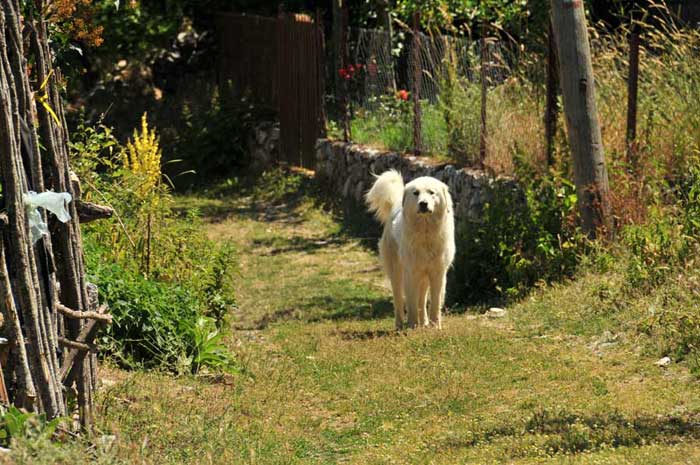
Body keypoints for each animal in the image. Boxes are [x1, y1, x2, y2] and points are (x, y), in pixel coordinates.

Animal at [364, 169, 456, 328]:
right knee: (398, 300)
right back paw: (400, 324)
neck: (425, 233)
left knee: (422, 299)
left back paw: (424, 322)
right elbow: (411, 302)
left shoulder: (437, 272)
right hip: (397, 273)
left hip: (423, 276)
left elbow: (434, 303)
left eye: (431, 192)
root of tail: (396, 203)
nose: (423, 204)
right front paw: (412, 326)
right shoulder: (411, 272)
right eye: (416, 193)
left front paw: (435, 326)